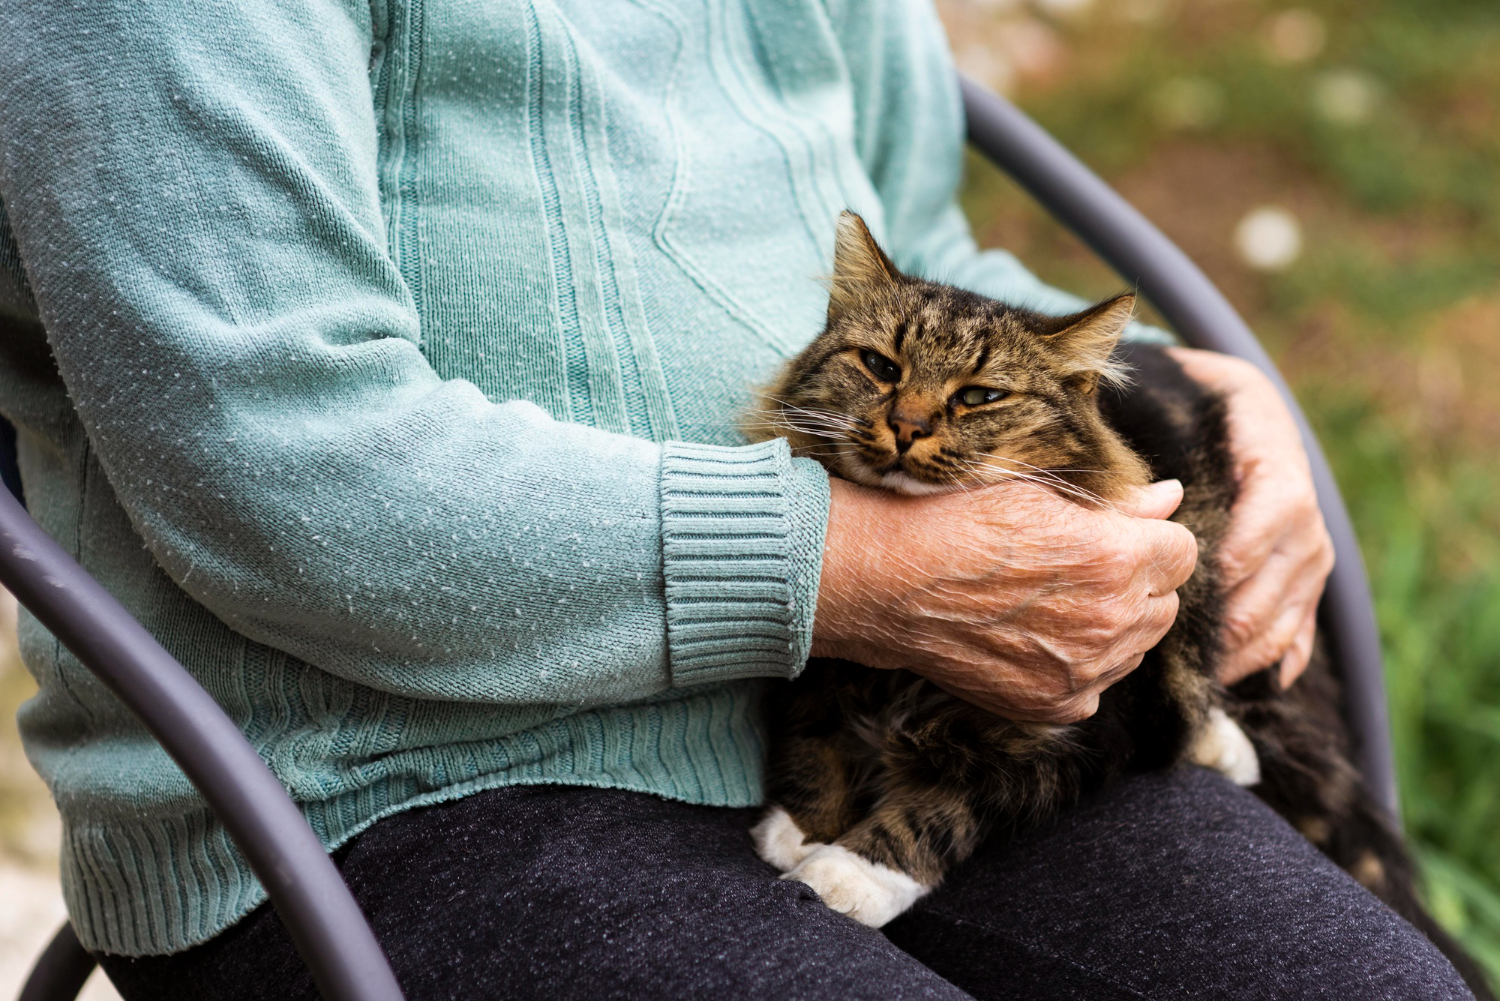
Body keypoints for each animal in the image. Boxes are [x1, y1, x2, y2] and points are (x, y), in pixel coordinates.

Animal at [744, 207, 1494, 996]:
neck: (903, 664)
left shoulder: (1079, 734)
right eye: (882, 366)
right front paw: (801, 829)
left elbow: (942, 812)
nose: (908, 425)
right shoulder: (815, 667)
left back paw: (1224, 745)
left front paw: (846, 873)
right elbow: (813, 741)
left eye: (979, 396)